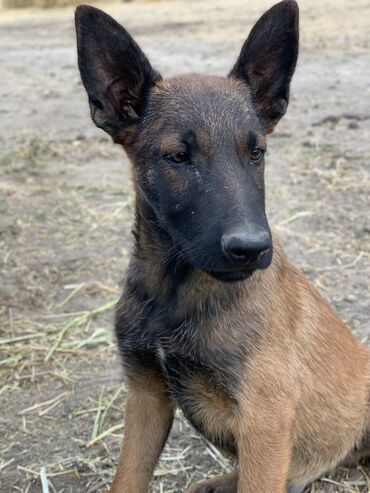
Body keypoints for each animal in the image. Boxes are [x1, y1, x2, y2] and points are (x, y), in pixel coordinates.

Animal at [74, 1, 370, 490]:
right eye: (178, 157)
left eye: (257, 153)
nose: (252, 248)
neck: (173, 289)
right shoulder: (146, 395)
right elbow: (127, 477)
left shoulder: (265, 419)